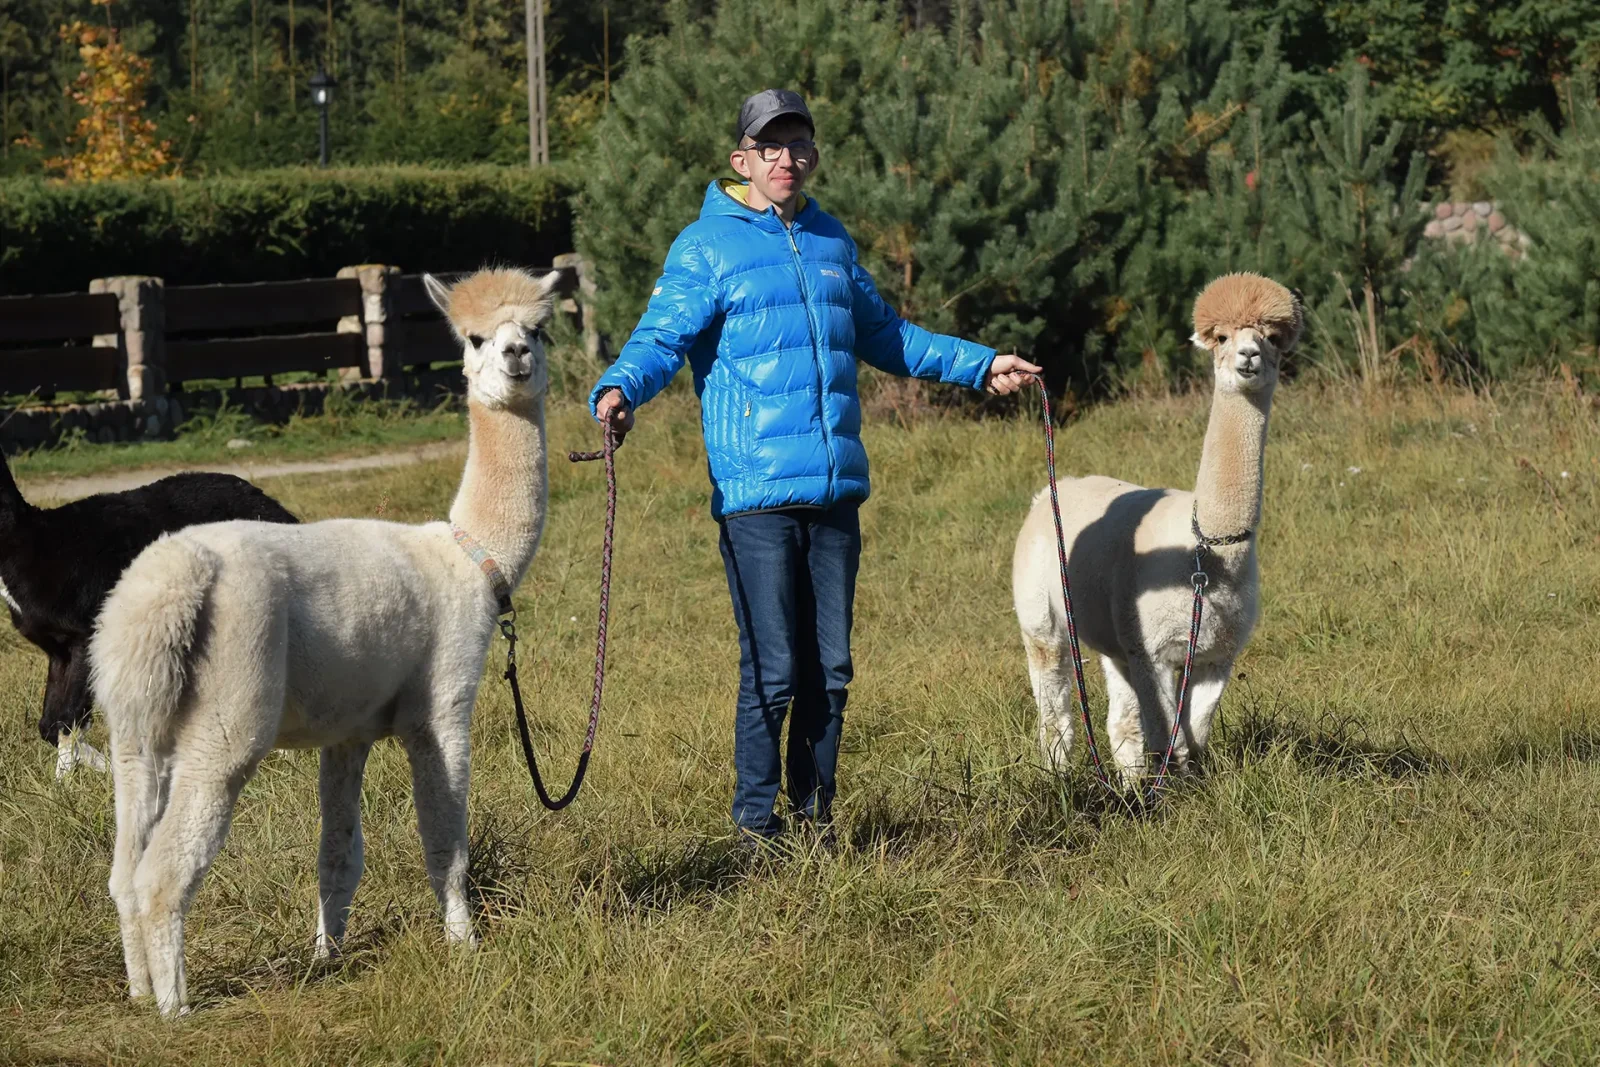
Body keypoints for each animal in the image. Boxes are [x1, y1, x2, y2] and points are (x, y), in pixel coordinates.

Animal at [0, 456, 297, 776]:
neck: (36, 544)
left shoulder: (85, 635)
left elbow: (68, 718)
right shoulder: (58, 651)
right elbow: (51, 724)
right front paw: (75, 775)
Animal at [88, 267, 559, 1016]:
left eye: (539, 329)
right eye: (475, 337)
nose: (516, 356)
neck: (467, 553)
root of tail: (169, 584)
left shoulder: (349, 729)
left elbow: (338, 852)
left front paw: (326, 955)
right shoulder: (441, 704)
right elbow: (445, 838)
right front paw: (464, 942)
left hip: (135, 721)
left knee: (123, 868)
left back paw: (137, 991)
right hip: (229, 709)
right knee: (163, 869)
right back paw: (175, 1007)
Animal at [1011, 272, 1303, 784]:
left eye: (1269, 337)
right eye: (1222, 337)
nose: (1248, 356)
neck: (1205, 554)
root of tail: (1052, 490)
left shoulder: (1214, 654)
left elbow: (1194, 736)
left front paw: (1184, 785)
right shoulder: (1155, 650)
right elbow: (1172, 739)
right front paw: (1172, 794)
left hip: (1115, 633)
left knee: (1120, 721)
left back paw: (1129, 785)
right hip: (1039, 609)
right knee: (1054, 702)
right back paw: (1059, 776)